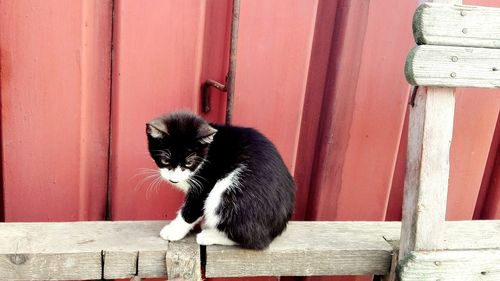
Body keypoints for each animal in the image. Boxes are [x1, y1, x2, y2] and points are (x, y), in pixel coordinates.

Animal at [145, 110, 294, 248]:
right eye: (165, 160)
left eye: (189, 163)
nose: (173, 179)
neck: (206, 155)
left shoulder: (207, 179)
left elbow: (192, 207)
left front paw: (174, 231)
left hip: (232, 192)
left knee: (254, 241)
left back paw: (209, 235)